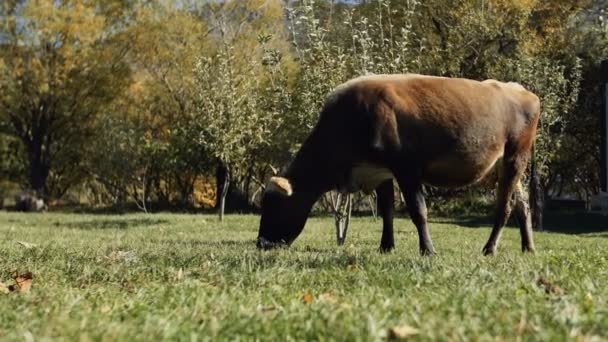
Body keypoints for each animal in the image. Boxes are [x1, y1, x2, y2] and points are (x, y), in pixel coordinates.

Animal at [256, 75, 536, 256]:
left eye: (274, 205)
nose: (261, 243)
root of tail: (517, 89)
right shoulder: (382, 171)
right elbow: (387, 211)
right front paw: (386, 247)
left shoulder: (407, 168)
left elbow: (418, 211)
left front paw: (427, 250)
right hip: (504, 168)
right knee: (522, 204)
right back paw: (528, 247)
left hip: (515, 157)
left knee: (505, 206)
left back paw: (490, 248)